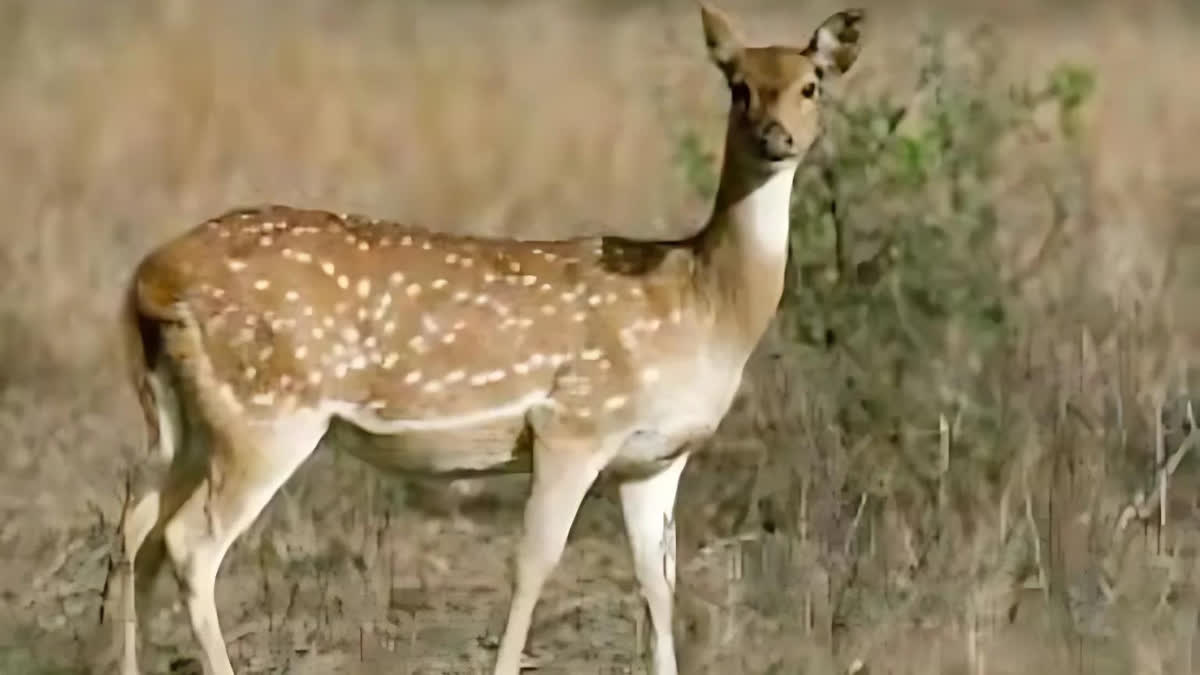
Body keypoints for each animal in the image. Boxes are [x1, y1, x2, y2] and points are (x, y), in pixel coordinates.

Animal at [108, 6, 864, 672]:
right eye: (738, 85)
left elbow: (658, 580)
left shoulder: (654, 458)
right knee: (189, 543)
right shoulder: (573, 423)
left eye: (811, 85)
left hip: (186, 419)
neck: (704, 305)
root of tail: (149, 279)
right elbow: (535, 562)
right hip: (267, 411)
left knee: (137, 527)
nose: (775, 135)